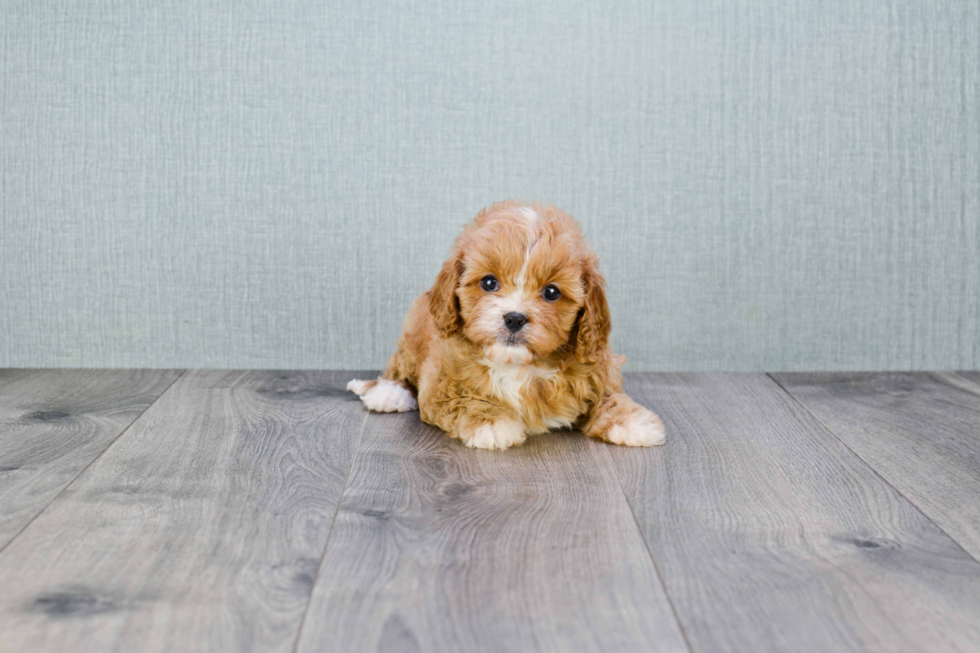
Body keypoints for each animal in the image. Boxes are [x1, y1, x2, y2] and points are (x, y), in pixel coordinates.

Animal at [346, 201, 668, 450]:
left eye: (552, 292)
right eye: (489, 283)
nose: (514, 317)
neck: (519, 365)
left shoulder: (595, 372)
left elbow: (609, 397)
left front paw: (633, 421)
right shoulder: (440, 385)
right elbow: (465, 399)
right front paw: (491, 423)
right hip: (414, 332)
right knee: (400, 365)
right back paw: (388, 393)